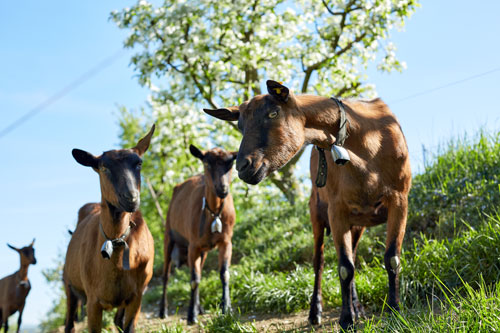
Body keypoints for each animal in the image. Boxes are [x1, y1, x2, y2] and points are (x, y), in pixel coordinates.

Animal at [63, 124, 155, 332]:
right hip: (70, 287)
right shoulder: (93, 302)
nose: (131, 198)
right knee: (69, 324)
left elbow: (127, 327)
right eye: (104, 167)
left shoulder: (137, 297)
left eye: (139, 163)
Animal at [160, 144, 238, 322]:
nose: (223, 189)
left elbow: (224, 274)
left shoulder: (226, 241)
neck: (214, 213)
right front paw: (191, 315)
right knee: (166, 275)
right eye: (207, 163)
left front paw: (226, 308)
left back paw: (199, 307)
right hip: (169, 237)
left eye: (231, 164)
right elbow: (194, 280)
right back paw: (163, 311)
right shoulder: (193, 245)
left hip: (204, 250)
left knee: (199, 270)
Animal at [205, 81, 412, 330]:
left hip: (357, 222)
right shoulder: (336, 209)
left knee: (351, 253)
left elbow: (391, 258)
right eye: (241, 125)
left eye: (273, 113)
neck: (365, 145)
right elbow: (345, 268)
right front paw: (346, 319)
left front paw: (394, 310)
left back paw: (358, 307)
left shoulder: (399, 200)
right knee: (319, 262)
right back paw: (316, 313)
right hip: (317, 214)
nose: (243, 167)